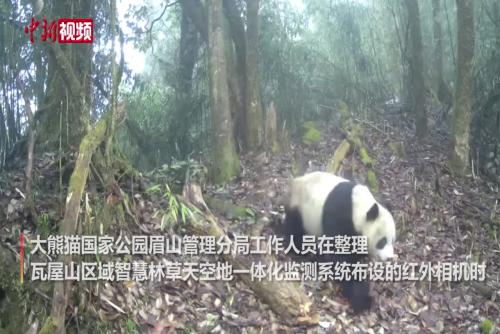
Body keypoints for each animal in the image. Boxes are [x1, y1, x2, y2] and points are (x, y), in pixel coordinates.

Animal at [284, 172, 396, 314]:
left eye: (393, 240)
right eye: (382, 241)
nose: (389, 258)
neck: (358, 208)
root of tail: (294, 182)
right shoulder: (340, 217)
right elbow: (342, 259)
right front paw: (362, 300)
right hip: (301, 208)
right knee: (295, 229)